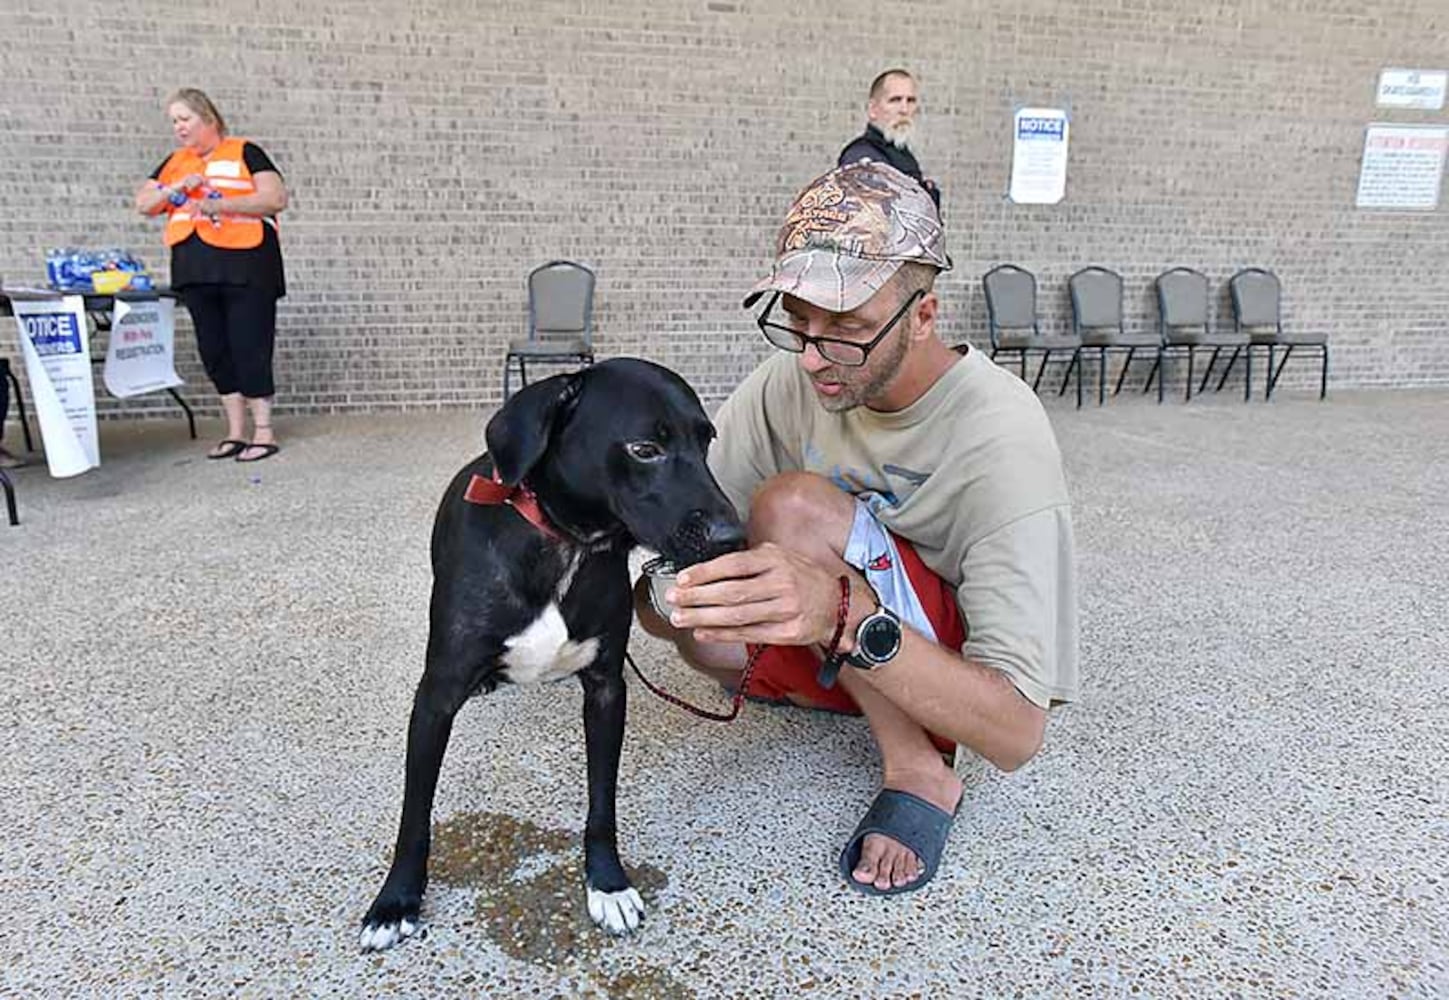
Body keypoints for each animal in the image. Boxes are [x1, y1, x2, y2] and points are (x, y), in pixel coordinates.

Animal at [360, 360, 741, 950]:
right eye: (645, 449)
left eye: (707, 441)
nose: (733, 536)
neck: (568, 545)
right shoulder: (434, 700)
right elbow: (414, 813)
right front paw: (395, 899)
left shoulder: (607, 690)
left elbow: (602, 803)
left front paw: (607, 883)